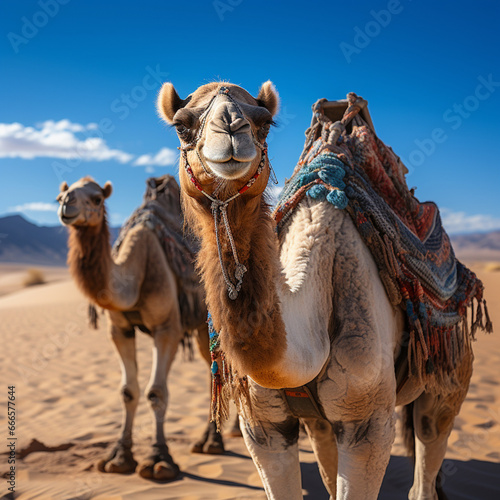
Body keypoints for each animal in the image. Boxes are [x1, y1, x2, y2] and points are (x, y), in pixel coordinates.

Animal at [56, 175, 225, 480]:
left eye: (97, 198)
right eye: (61, 195)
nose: (66, 204)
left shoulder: (167, 328)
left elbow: (156, 392)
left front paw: (160, 459)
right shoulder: (120, 330)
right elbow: (128, 391)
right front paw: (119, 457)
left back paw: (217, 442)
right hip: (200, 328)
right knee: (214, 369)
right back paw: (214, 439)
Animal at [156, 80, 488, 498]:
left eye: (264, 123)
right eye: (182, 125)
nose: (231, 128)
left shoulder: (368, 426)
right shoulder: (264, 427)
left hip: (448, 374)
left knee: (429, 440)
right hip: (321, 424)